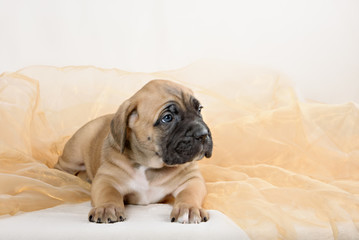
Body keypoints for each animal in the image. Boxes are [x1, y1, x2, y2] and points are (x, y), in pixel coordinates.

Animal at [54, 79, 212, 224]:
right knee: (61, 166)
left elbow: (190, 193)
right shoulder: (106, 179)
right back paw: (59, 177)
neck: (149, 165)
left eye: (199, 109)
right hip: (75, 153)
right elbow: (108, 193)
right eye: (167, 118)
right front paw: (106, 208)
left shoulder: (192, 179)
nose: (203, 134)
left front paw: (189, 208)